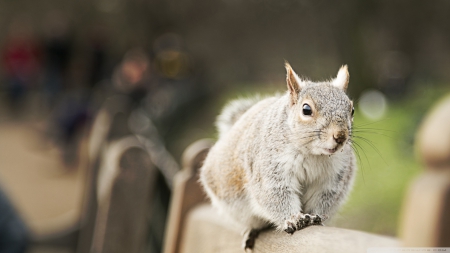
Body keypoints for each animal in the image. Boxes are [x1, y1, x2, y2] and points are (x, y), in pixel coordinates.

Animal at [199, 62, 356, 250]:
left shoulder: (331, 178)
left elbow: (323, 199)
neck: (312, 153)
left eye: (352, 110)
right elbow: (276, 195)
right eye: (306, 109)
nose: (340, 136)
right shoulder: (271, 170)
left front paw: (316, 218)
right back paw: (252, 230)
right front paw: (294, 219)